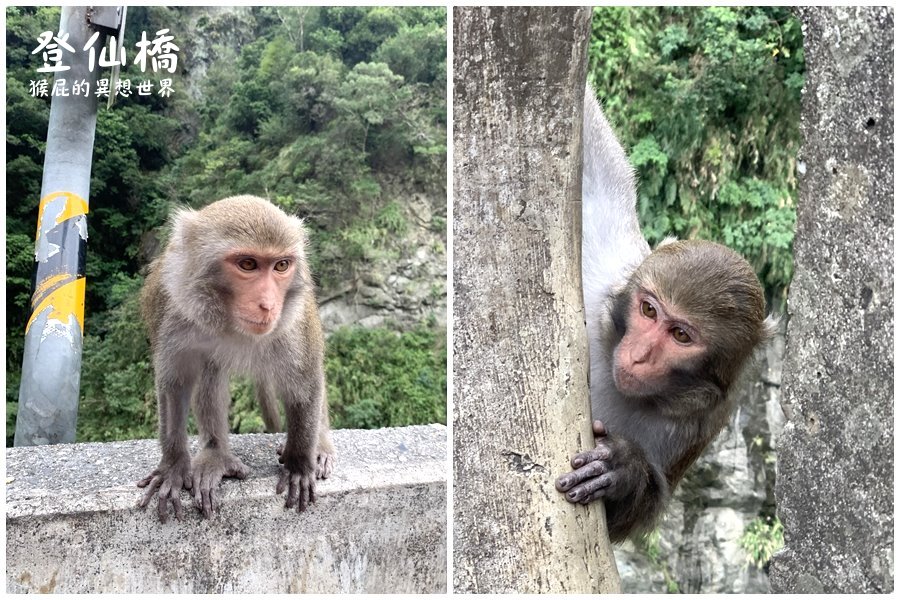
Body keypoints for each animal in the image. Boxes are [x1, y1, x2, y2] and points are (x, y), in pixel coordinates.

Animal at [139, 196, 336, 520]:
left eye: (281, 265)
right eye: (248, 264)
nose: (268, 305)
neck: (229, 322)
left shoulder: (293, 323)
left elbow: (304, 384)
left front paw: (298, 464)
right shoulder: (171, 306)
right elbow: (175, 384)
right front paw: (173, 467)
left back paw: (319, 446)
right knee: (211, 370)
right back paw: (216, 455)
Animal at [556, 86, 772, 540]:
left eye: (681, 335)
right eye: (648, 310)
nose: (639, 355)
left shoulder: (699, 423)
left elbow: (619, 522)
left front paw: (622, 469)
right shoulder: (606, 266)